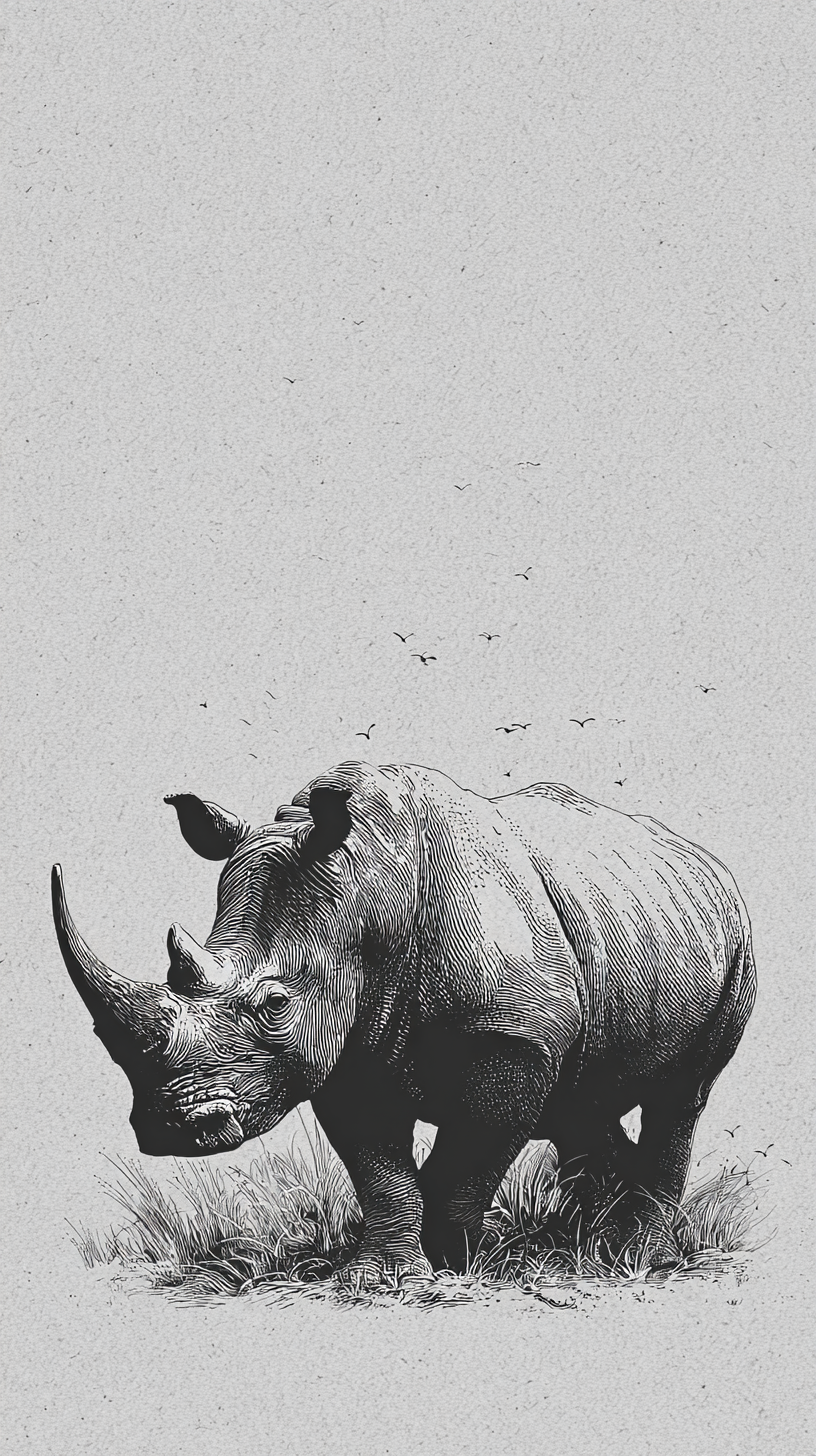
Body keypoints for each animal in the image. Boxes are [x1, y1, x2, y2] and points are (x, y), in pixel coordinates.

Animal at [52, 760, 756, 1282]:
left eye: (275, 1005)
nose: (169, 1127)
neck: (367, 891)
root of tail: (707, 861)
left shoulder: (511, 1037)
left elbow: (466, 1161)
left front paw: (455, 1264)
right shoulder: (346, 1050)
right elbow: (380, 1170)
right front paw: (386, 1277)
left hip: (736, 942)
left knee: (679, 1098)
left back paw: (635, 1258)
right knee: (582, 1100)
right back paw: (582, 1247)